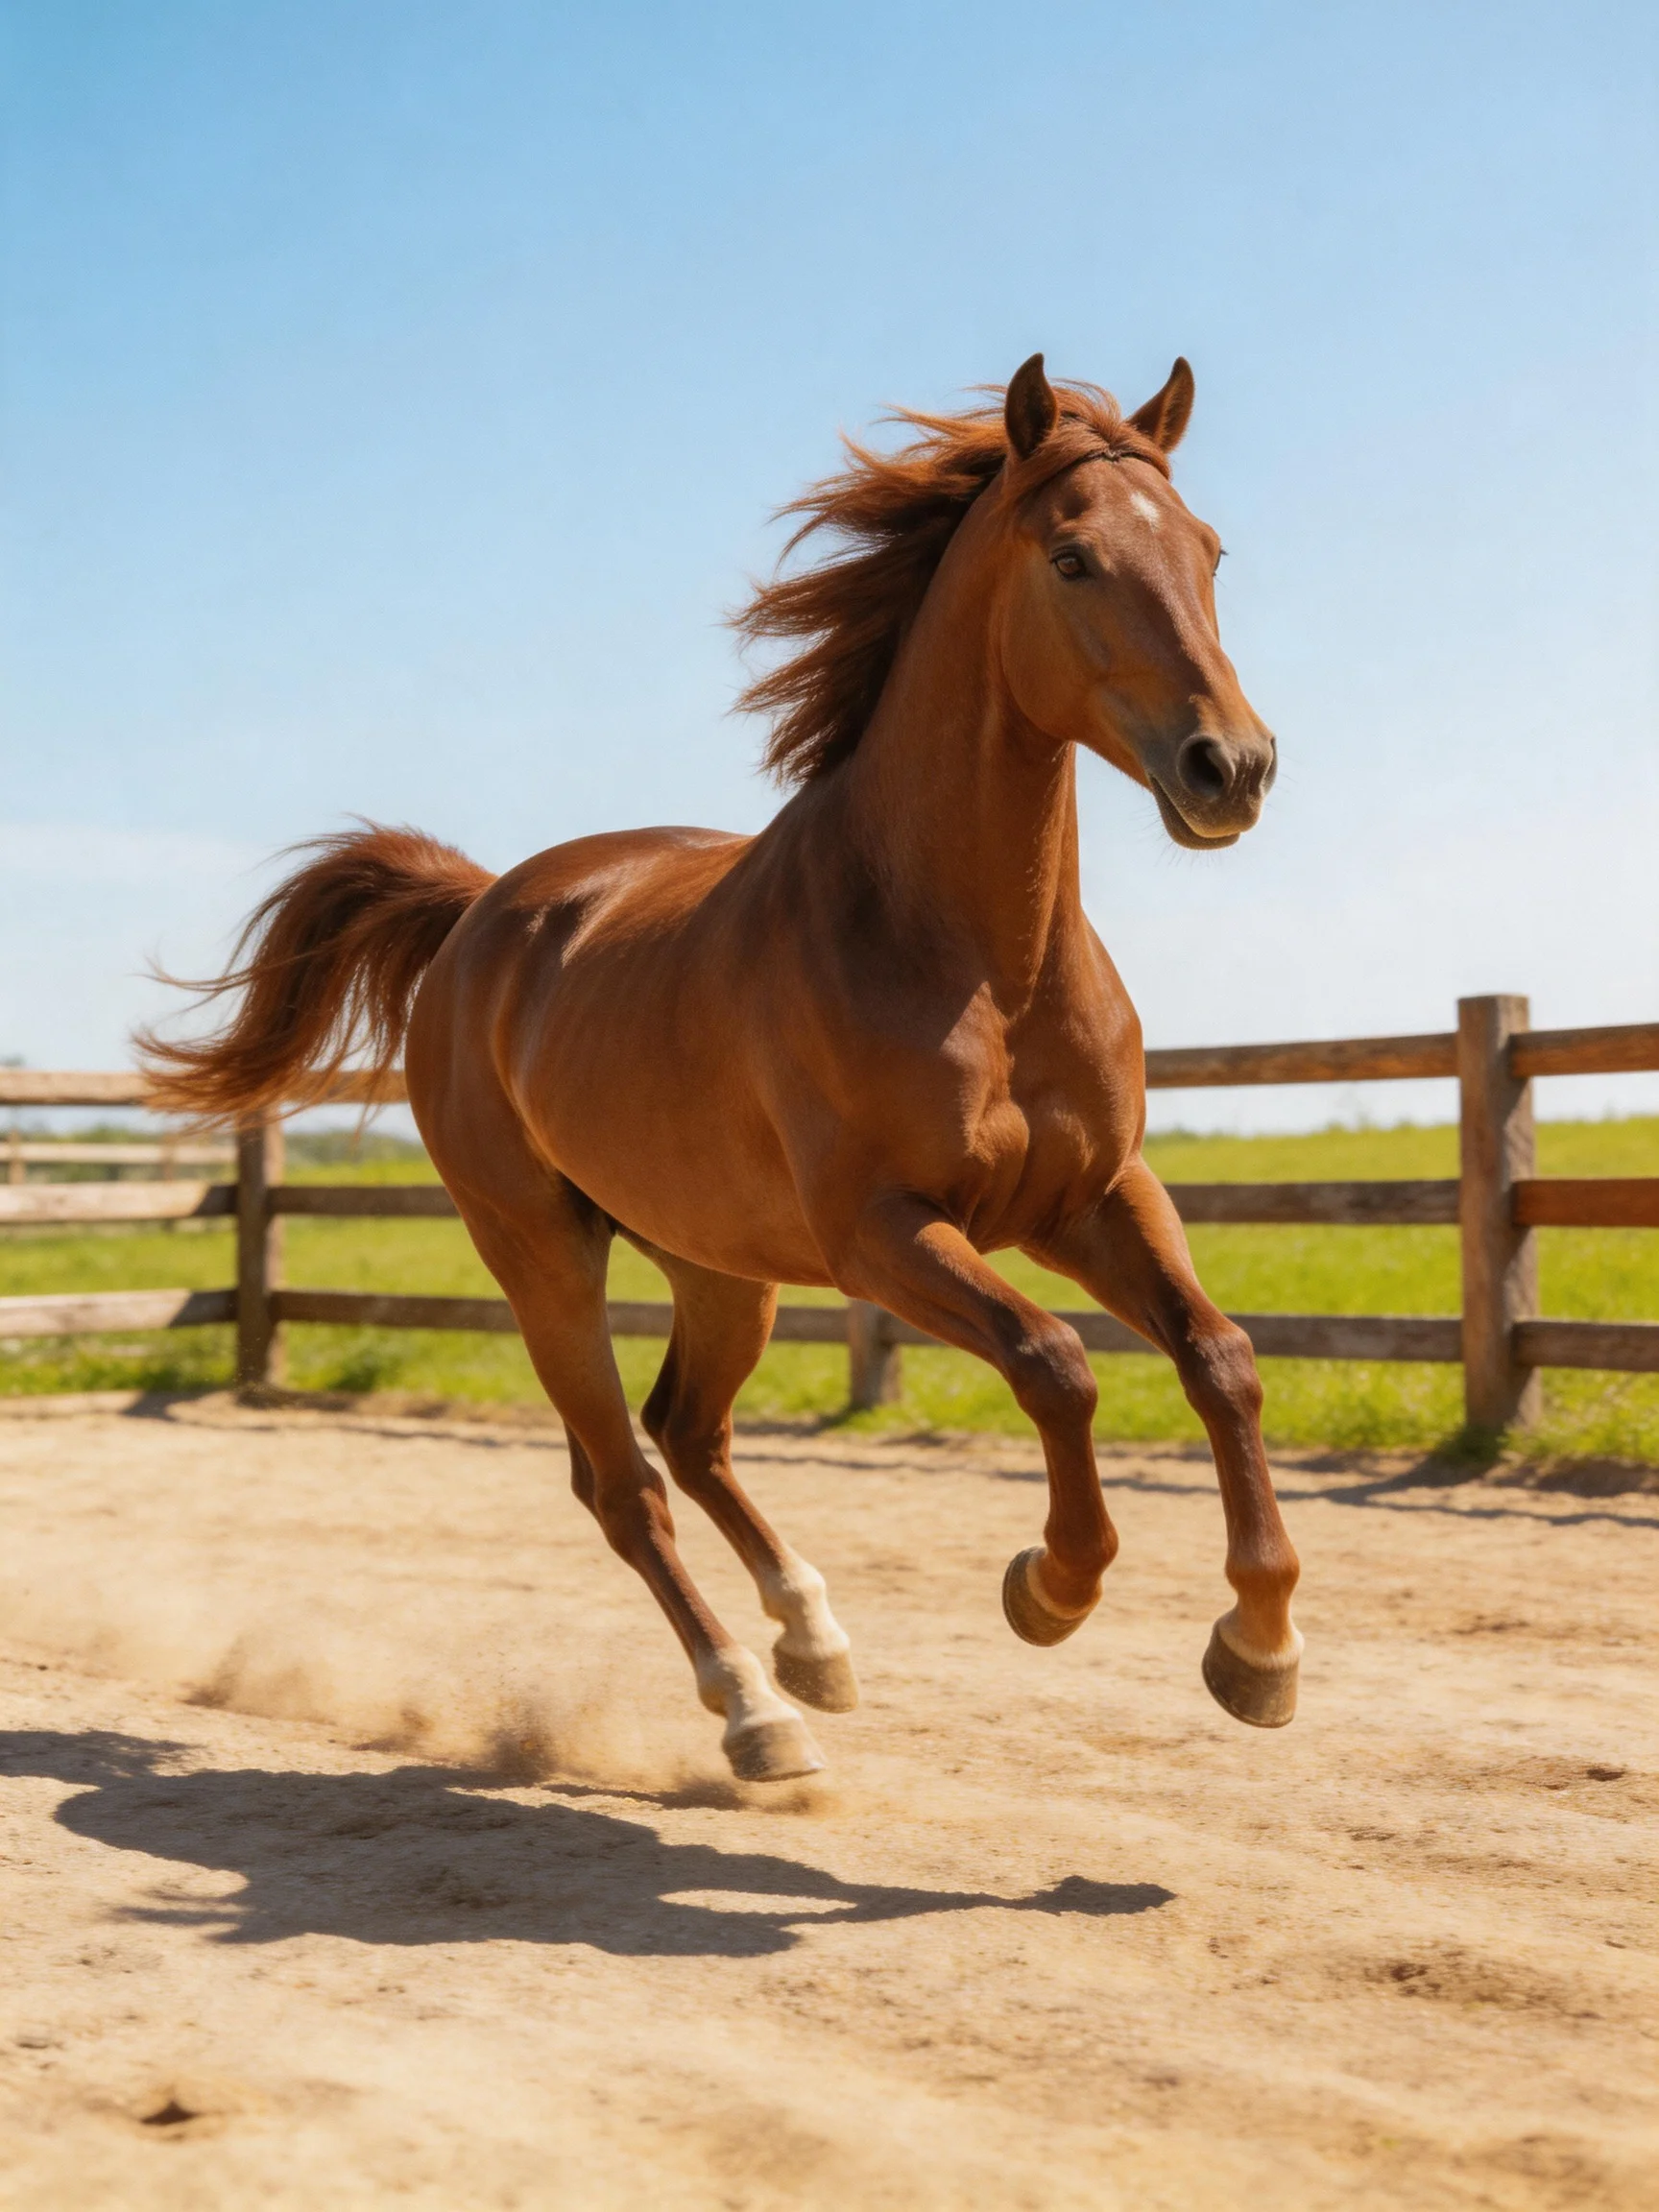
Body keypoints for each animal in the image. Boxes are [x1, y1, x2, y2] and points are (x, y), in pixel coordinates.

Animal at [142, 354, 1302, 1783]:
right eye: (1074, 556)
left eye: (1210, 548)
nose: (1231, 767)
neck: (975, 955)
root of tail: (479, 913)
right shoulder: (884, 1235)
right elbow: (1055, 1363)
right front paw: (1050, 1588)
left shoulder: (1094, 1197)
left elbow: (1220, 1357)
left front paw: (1258, 1651)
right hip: (541, 1257)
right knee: (623, 1482)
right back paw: (757, 1712)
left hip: (718, 1264)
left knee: (690, 1434)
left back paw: (814, 1642)